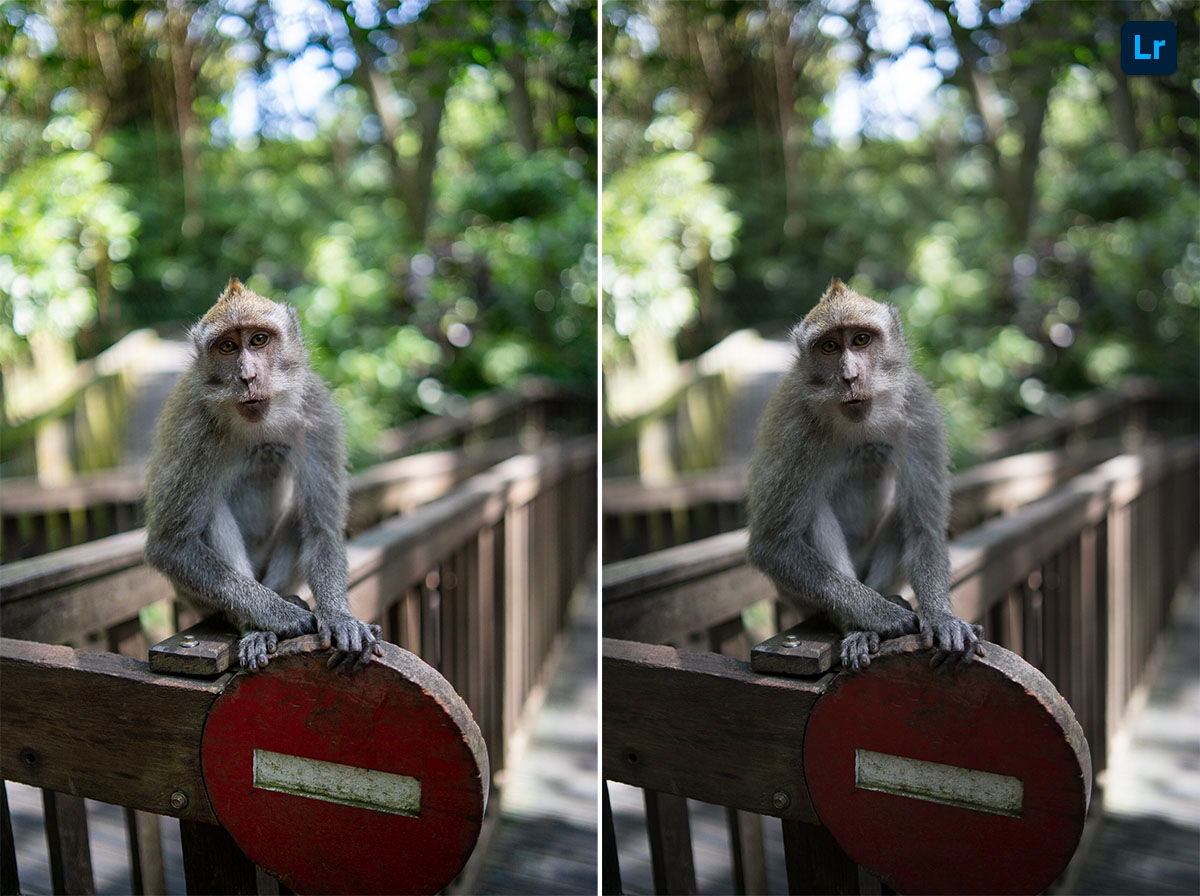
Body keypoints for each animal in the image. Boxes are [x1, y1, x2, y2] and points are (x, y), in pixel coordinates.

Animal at [144, 278, 383, 672]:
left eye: (258, 340)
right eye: (227, 346)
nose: (248, 376)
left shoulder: (317, 413)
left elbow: (320, 527)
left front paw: (339, 617)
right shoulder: (192, 428)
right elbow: (171, 545)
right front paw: (282, 618)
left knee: (302, 514)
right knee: (210, 512)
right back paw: (255, 627)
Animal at [746, 278, 984, 672]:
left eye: (861, 340)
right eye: (829, 346)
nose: (850, 376)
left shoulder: (920, 414)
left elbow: (923, 527)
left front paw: (941, 617)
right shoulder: (795, 429)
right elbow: (773, 544)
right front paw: (883, 617)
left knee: (904, 513)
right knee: (811, 513)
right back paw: (857, 627)